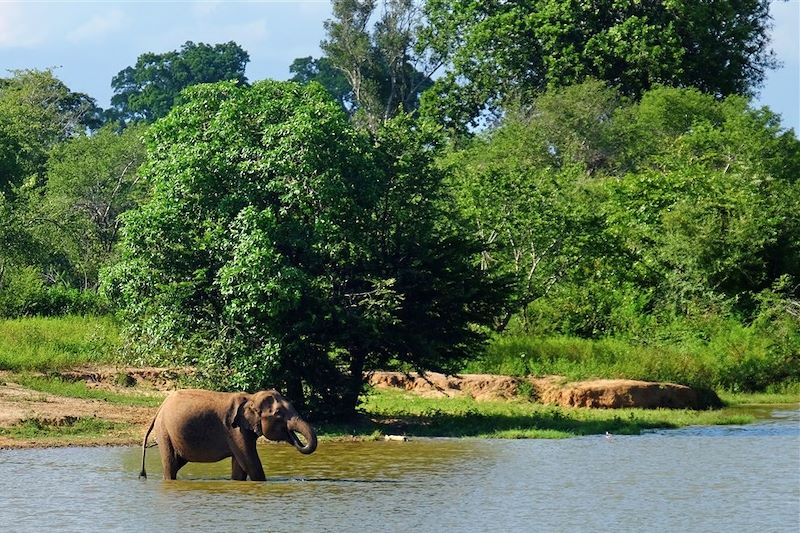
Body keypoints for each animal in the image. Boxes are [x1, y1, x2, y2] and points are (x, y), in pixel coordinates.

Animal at [141, 388, 318, 480]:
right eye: (278, 414)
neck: (251, 397)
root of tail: (160, 408)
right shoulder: (234, 429)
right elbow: (249, 462)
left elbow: (240, 465)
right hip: (164, 431)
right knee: (171, 463)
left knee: (178, 462)